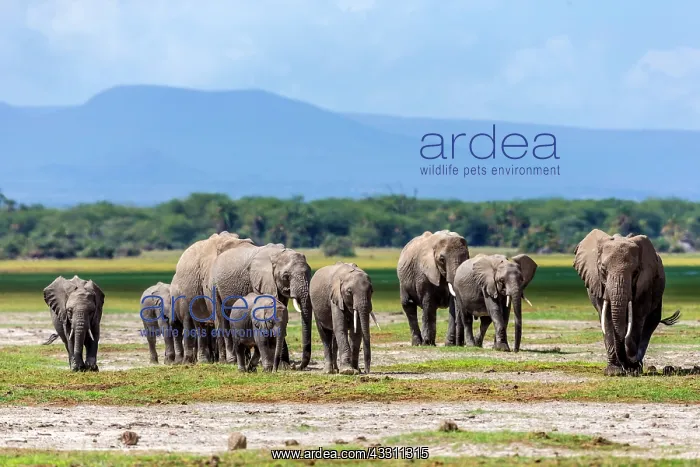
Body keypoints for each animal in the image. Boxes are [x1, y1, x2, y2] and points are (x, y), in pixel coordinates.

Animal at [169, 231, 256, 364]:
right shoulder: (210, 279)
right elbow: (219, 319)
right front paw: (225, 361)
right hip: (186, 294)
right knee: (195, 323)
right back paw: (198, 361)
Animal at [573, 229, 681, 376]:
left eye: (635, 272)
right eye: (603, 270)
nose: (630, 362)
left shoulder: (644, 285)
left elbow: (637, 317)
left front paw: (633, 370)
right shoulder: (597, 284)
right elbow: (607, 319)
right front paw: (614, 372)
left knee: (651, 322)